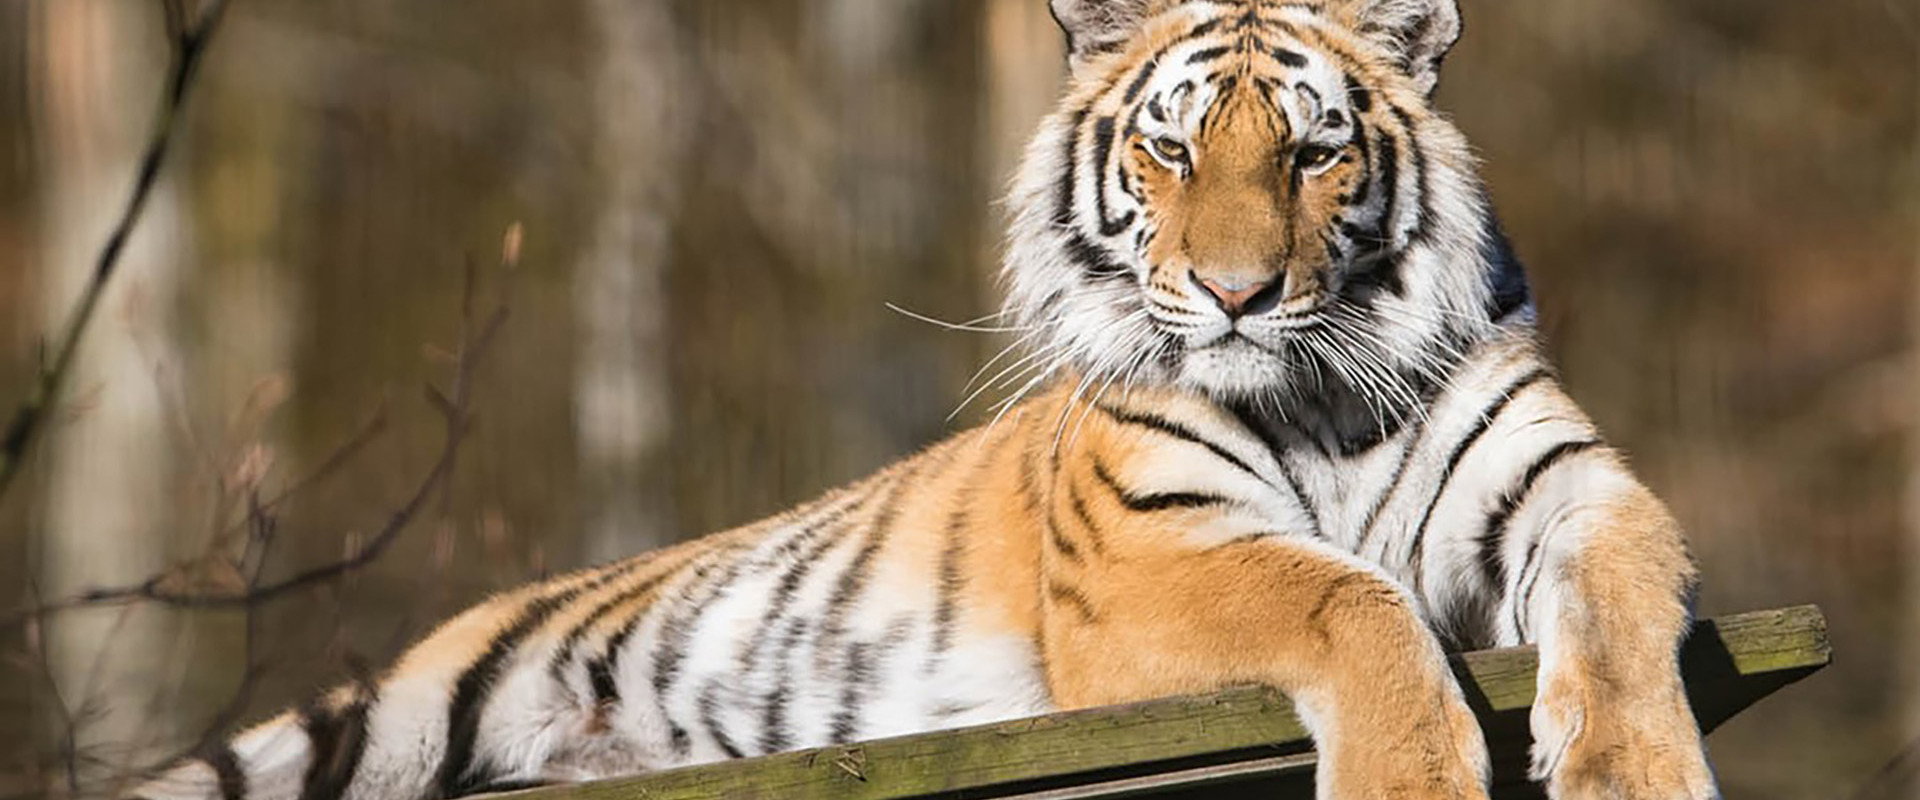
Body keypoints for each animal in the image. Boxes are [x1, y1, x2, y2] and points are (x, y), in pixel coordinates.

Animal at [132, 1, 1720, 799]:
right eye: (1169, 151)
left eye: (1314, 154)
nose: (1235, 293)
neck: (1320, 395)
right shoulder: (1148, 556)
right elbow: (1347, 597)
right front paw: (1412, 779)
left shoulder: (1569, 481)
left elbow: (1622, 592)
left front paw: (1631, 772)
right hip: (375, 720)